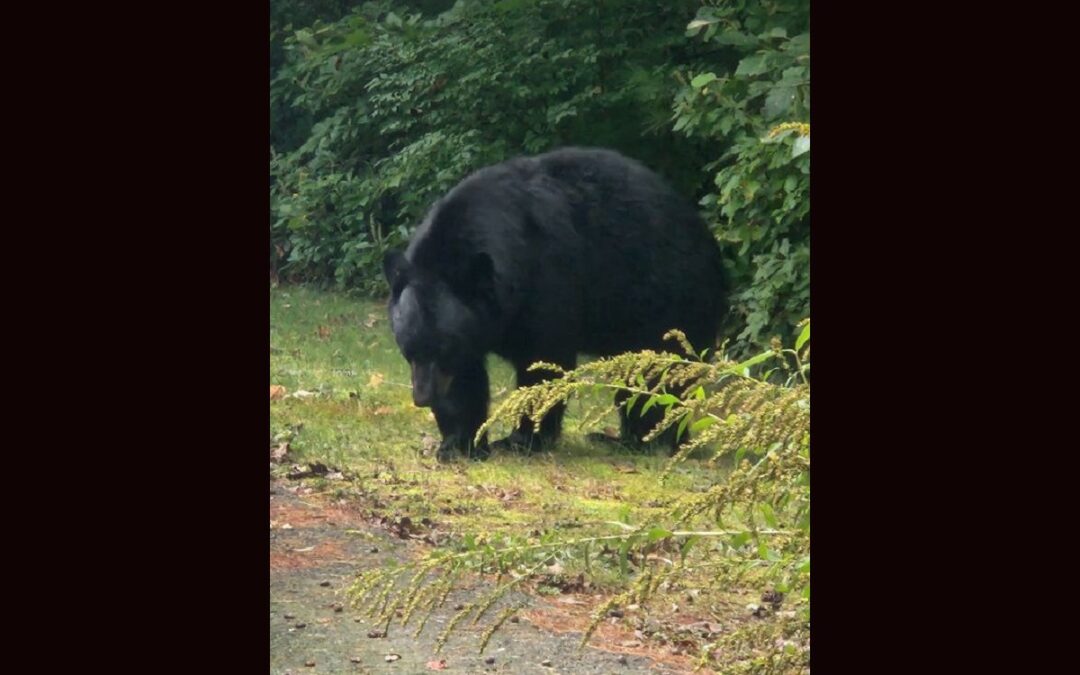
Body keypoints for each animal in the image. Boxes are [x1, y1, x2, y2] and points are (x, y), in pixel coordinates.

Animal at [383, 147, 727, 460]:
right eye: (408, 351)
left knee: (657, 377)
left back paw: (650, 441)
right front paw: (459, 443)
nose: (422, 397)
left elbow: (543, 362)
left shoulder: (547, 281)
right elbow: (464, 380)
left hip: (668, 304)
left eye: (443, 348)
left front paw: (522, 440)